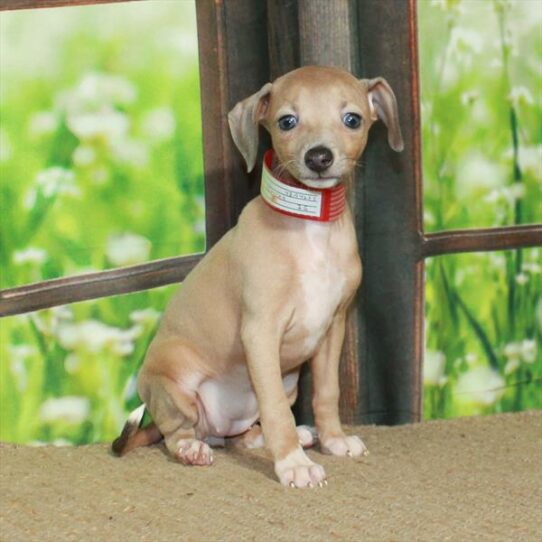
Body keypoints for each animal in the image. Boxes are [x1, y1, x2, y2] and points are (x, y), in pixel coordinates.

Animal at [113, 66, 404, 490]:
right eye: (287, 121)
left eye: (352, 119)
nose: (319, 157)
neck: (309, 225)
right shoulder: (260, 331)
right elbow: (276, 410)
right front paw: (293, 464)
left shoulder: (333, 327)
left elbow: (327, 392)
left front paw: (333, 439)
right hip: (176, 383)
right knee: (177, 432)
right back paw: (193, 449)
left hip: (287, 380)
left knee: (240, 433)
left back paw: (282, 435)